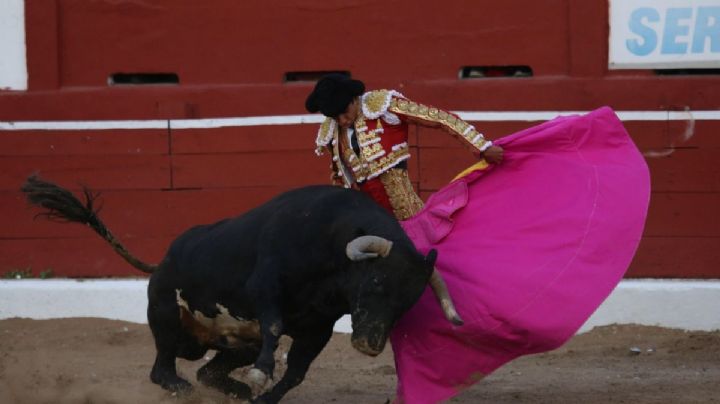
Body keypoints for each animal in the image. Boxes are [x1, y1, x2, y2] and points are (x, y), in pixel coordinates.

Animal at [22, 177, 436, 404]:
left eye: (407, 301)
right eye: (376, 281)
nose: (370, 344)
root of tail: (164, 259)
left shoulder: (318, 327)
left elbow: (296, 372)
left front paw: (261, 396)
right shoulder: (266, 286)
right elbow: (274, 328)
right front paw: (259, 376)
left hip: (232, 341)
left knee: (208, 371)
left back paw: (233, 391)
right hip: (165, 314)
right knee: (161, 370)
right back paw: (186, 389)